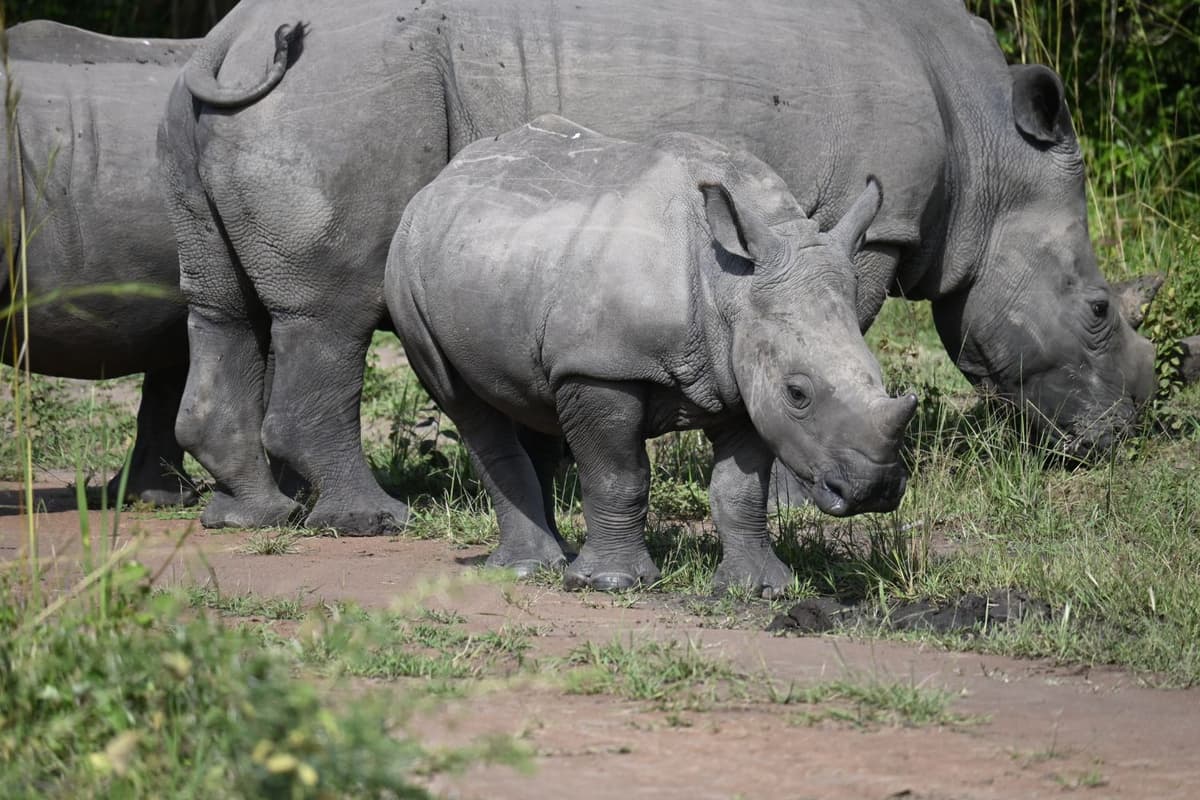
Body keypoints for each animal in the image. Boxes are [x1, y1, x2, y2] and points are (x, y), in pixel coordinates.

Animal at [160, 0, 1155, 535]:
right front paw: (801, 495)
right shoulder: (874, 224)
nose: (1117, 440)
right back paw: (373, 518)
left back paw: (254, 514)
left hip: (224, 109)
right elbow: (835, 334)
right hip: (343, 91)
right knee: (331, 309)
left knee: (221, 307)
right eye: (1099, 312)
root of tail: (233, 34)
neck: (989, 151)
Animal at [385, 115, 915, 592]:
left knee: (529, 395)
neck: (728, 282)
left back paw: (554, 558)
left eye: (879, 377)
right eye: (798, 393)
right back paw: (527, 570)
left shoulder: (744, 373)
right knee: (462, 401)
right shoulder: (601, 366)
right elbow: (619, 476)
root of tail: (441, 179)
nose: (874, 489)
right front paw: (611, 583)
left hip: (497, 258)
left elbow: (741, 489)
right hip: (406, 265)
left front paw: (761, 588)